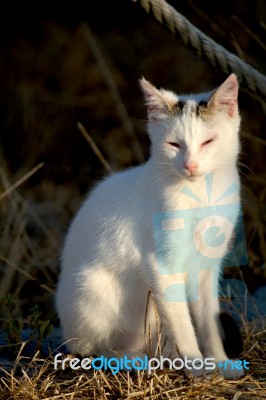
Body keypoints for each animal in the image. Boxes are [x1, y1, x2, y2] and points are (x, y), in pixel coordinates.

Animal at [55, 75, 243, 378]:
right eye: (174, 144)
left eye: (208, 141)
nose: (190, 166)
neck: (200, 193)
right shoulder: (162, 265)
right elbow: (181, 322)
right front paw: (197, 366)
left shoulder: (207, 266)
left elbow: (208, 319)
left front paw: (220, 361)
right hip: (89, 289)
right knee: (92, 350)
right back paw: (130, 358)